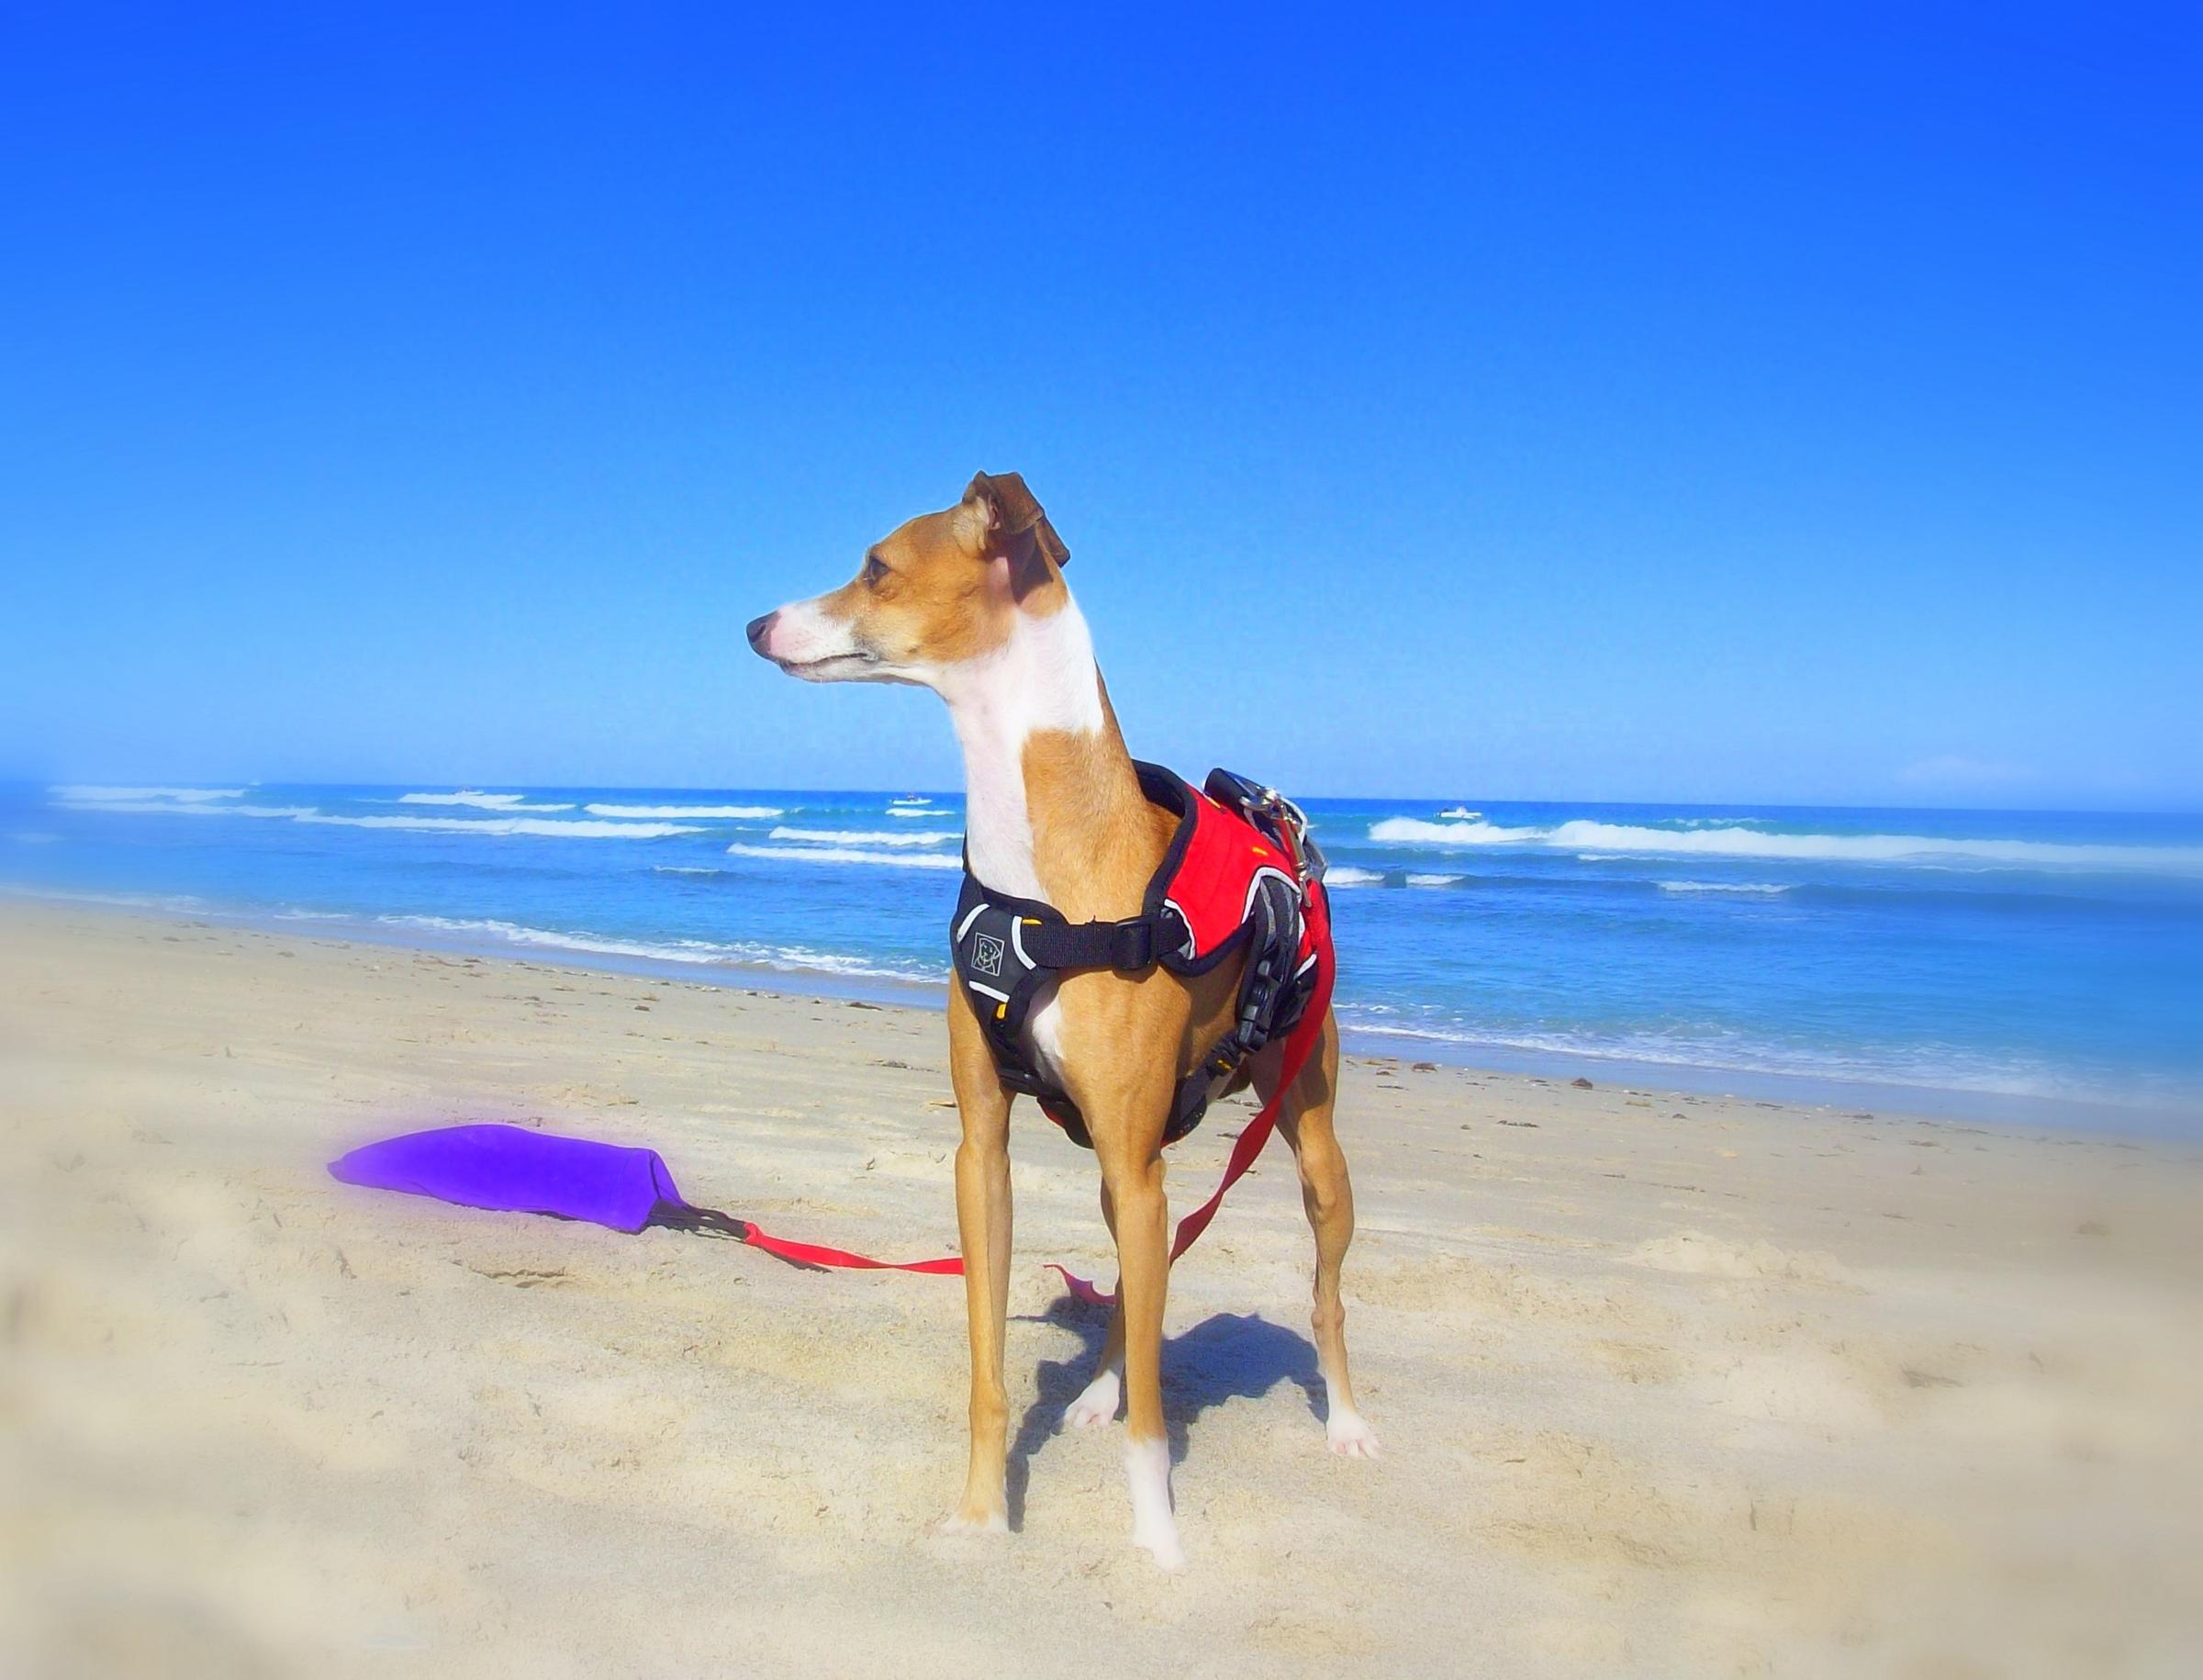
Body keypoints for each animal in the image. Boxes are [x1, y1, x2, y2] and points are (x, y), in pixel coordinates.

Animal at [757, 474, 1374, 1569]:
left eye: (875, 566)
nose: (753, 626)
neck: (1047, 880)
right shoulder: (987, 1151)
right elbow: (991, 1366)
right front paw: (980, 1516)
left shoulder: (1139, 1163)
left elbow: (1157, 1424)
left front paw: (1160, 1546)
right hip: (1122, 1181)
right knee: (1133, 1293)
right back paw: (1094, 1393)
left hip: (1309, 1143)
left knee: (1324, 1294)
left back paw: (1343, 1422)